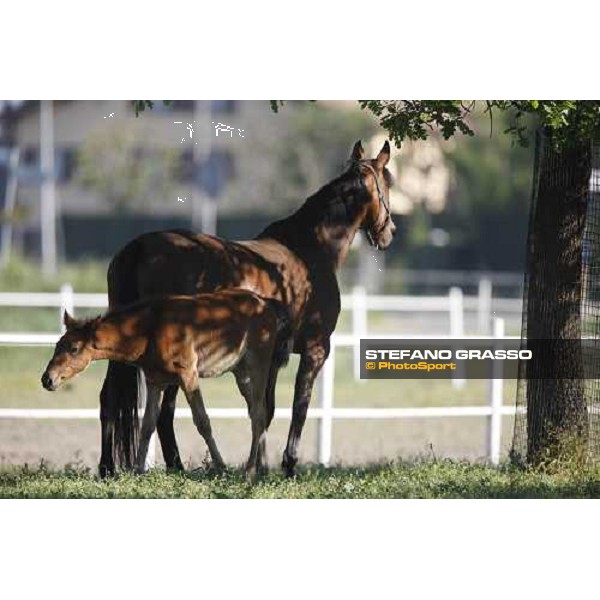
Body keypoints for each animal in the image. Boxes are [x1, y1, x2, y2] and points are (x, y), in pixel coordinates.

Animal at [40, 288, 292, 480]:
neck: (151, 329)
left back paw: (250, 470)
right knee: (257, 413)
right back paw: (261, 469)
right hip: (241, 374)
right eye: (57, 344)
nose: (47, 379)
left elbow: (203, 422)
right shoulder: (155, 382)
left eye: (74, 349)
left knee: (259, 414)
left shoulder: (188, 374)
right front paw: (137, 470)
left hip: (257, 368)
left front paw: (220, 466)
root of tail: (265, 304)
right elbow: (147, 425)